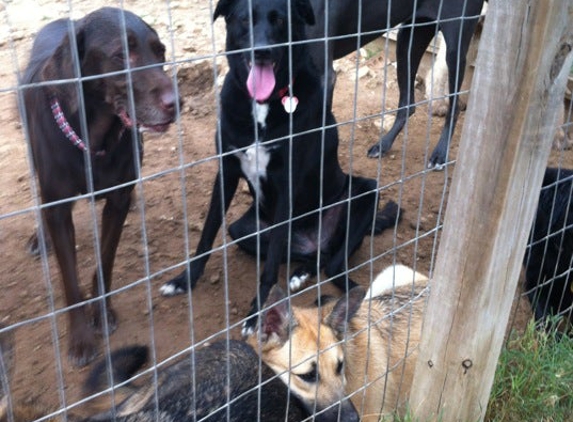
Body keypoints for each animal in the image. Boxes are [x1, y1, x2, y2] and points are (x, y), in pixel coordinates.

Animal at [20, 7, 178, 366]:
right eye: (121, 55)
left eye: (160, 51)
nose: (177, 102)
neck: (95, 138)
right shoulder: (59, 210)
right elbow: (70, 280)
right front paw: (80, 339)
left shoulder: (118, 201)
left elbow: (105, 259)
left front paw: (102, 313)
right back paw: (39, 237)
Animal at [159, 0, 400, 332]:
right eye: (244, 20)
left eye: (280, 21)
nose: (262, 51)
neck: (263, 105)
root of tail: (312, 239)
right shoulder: (226, 172)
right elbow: (207, 234)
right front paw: (184, 280)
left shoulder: (287, 184)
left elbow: (271, 265)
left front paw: (256, 313)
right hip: (243, 230)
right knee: (312, 253)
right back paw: (300, 270)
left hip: (365, 191)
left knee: (333, 262)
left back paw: (308, 274)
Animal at [306, 0, 484, 168]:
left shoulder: (323, 77)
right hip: (408, 40)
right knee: (408, 105)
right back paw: (383, 145)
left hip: (454, 46)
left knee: (454, 106)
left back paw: (440, 154)